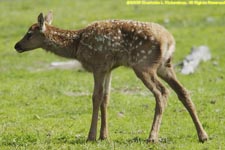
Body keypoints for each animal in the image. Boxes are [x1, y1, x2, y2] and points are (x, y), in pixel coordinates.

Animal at [14, 12, 208, 142]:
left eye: (29, 33)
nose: (17, 45)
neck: (77, 46)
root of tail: (169, 41)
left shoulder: (98, 64)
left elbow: (96, 97)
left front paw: (91, 136)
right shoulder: (109, 68)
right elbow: (106, 98)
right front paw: (104, 135)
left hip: (144, 65)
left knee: (162, 92)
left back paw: (152, 137)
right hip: (164, 66)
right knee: (183, 91)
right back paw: (203, 135)